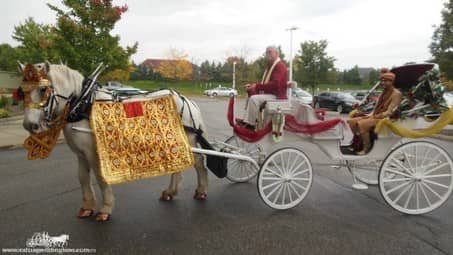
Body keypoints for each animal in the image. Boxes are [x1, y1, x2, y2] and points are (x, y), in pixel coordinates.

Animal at [18, 61, 208, 221]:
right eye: (21, 91)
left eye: (43, 89)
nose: (30, 125)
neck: (83, 104)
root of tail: (188, 101)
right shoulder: (80, 153)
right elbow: (82, 177)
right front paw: (87, 207)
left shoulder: (93, 151)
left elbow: (100, 177)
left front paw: (105, 209)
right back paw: (170, 192)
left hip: (189, 139)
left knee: (199, 162)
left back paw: (201, 190)